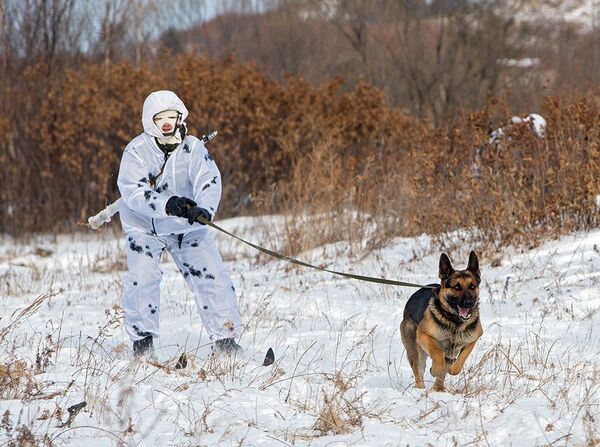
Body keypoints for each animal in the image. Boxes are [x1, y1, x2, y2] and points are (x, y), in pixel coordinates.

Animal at [404, 252, 482, 392]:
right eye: (456, 287)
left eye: (472, 286)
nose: (469, 303)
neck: (455, 321)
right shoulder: (423, 335)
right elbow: (437, 352)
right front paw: (435, 369)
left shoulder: (472, 340)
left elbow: (461, 358)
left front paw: (453, 370)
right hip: (415, 351)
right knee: (418, 370)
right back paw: (421, 388)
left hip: (450, 353)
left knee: (444, 368)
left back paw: (438, 388)